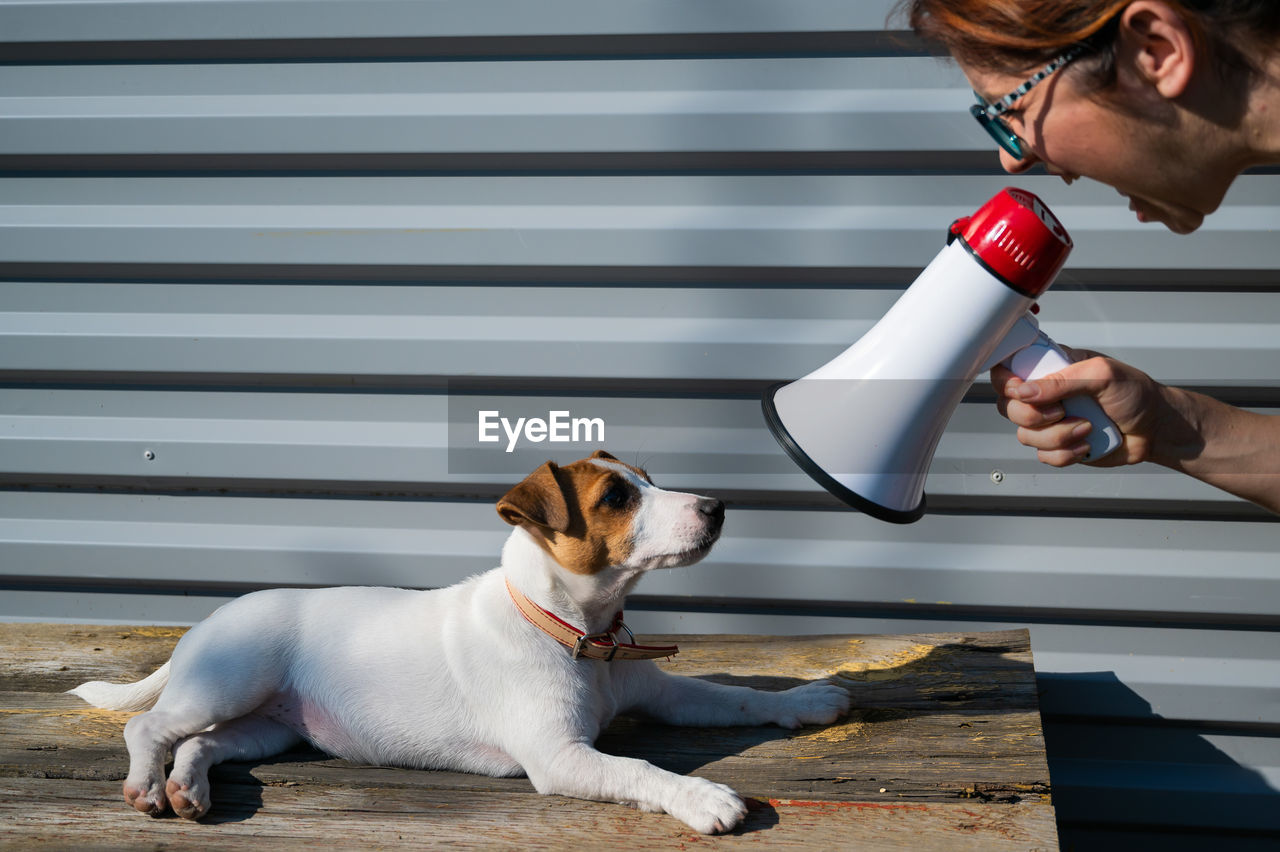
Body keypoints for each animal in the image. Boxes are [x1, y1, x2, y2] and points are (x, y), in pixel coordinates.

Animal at [70, 450, 849, 828]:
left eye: (648, 482)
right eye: (617, 498)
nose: (717, 507)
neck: (574, 631)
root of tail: (205, 623)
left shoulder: (658, 691)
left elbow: (732, 696)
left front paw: (807, 701)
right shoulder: (558, 757)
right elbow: (639, 769)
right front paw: (703, 798)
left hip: (268, 727)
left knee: (201, 744)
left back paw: (188, 786)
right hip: (229, 682)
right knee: (149, 726)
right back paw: (149, 784)